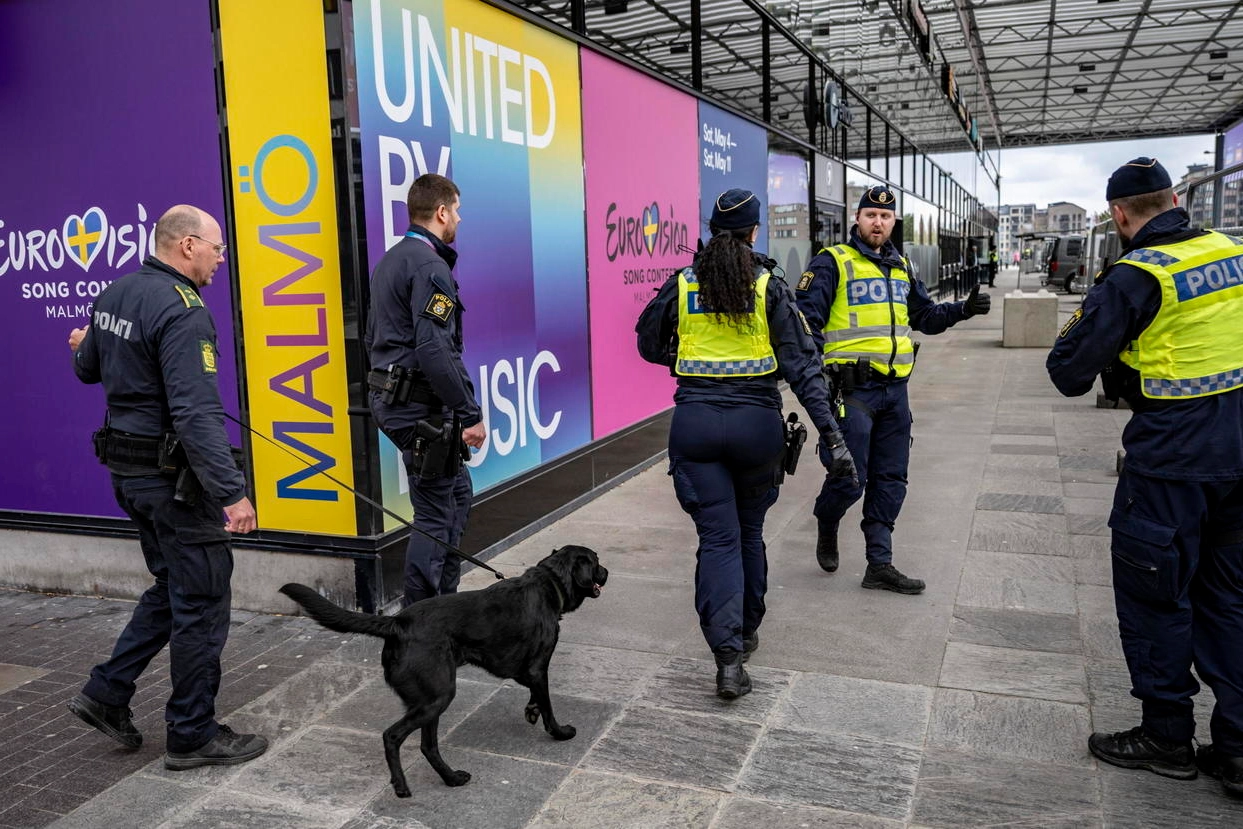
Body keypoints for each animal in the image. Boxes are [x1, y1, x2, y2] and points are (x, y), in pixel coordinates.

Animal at [65, 203, 264, 770]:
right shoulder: (187, 324)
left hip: (150, 524)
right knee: (200, 601)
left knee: (160, 595)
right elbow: (193, 404)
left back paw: (103, 706)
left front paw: (80, 347)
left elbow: (89, 365)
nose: (218, 263)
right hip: (192, 533)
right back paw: (199, 739)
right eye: (217, 247)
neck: (157, 271)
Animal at [362, 175, 484, 606]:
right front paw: (474, 422)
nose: (460, 219)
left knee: (455, 509)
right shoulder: (434, 282)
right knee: (436, 525)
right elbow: (436, 345)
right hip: (435, 456)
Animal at [636, 190, 860, 700]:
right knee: (750, 537)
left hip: (696, 464)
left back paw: (727, 660)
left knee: (718, 543)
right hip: (760, 469)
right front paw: (840, 451)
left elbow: (648, 338)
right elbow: (802, 363)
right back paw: (742, 645)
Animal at [795, 185, 989, 594]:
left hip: (895, 421)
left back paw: (882, 570)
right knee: (844, 489)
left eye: (884, 217)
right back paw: (827, 549)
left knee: (888, 478)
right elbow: (811, 321)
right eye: (872, 214)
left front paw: (883, 568)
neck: (878, 258)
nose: (881, 220)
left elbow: (920, 311)